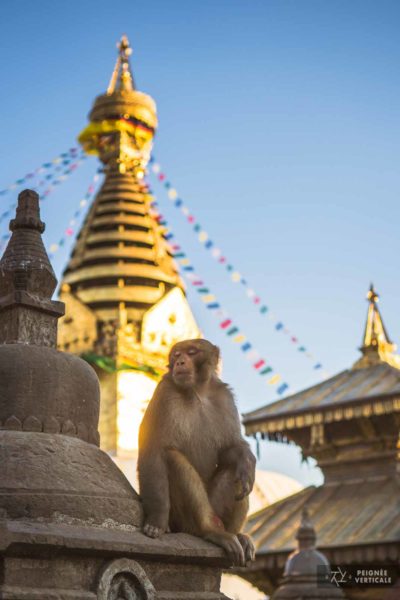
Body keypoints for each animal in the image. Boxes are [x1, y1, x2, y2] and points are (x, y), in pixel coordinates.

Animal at [138, 340, 256, 564]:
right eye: (176, 355)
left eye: (192, 352)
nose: (180, 362)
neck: (198, 391)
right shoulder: (164, 392)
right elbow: (154, 450)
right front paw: (157, 520)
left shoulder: (225, 397)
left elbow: (229, 448)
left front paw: (245, 459)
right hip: (184, 520)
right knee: (173, 458)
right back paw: (210, 532)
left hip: (216, 509)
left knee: (236, 473)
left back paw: (237, 535)